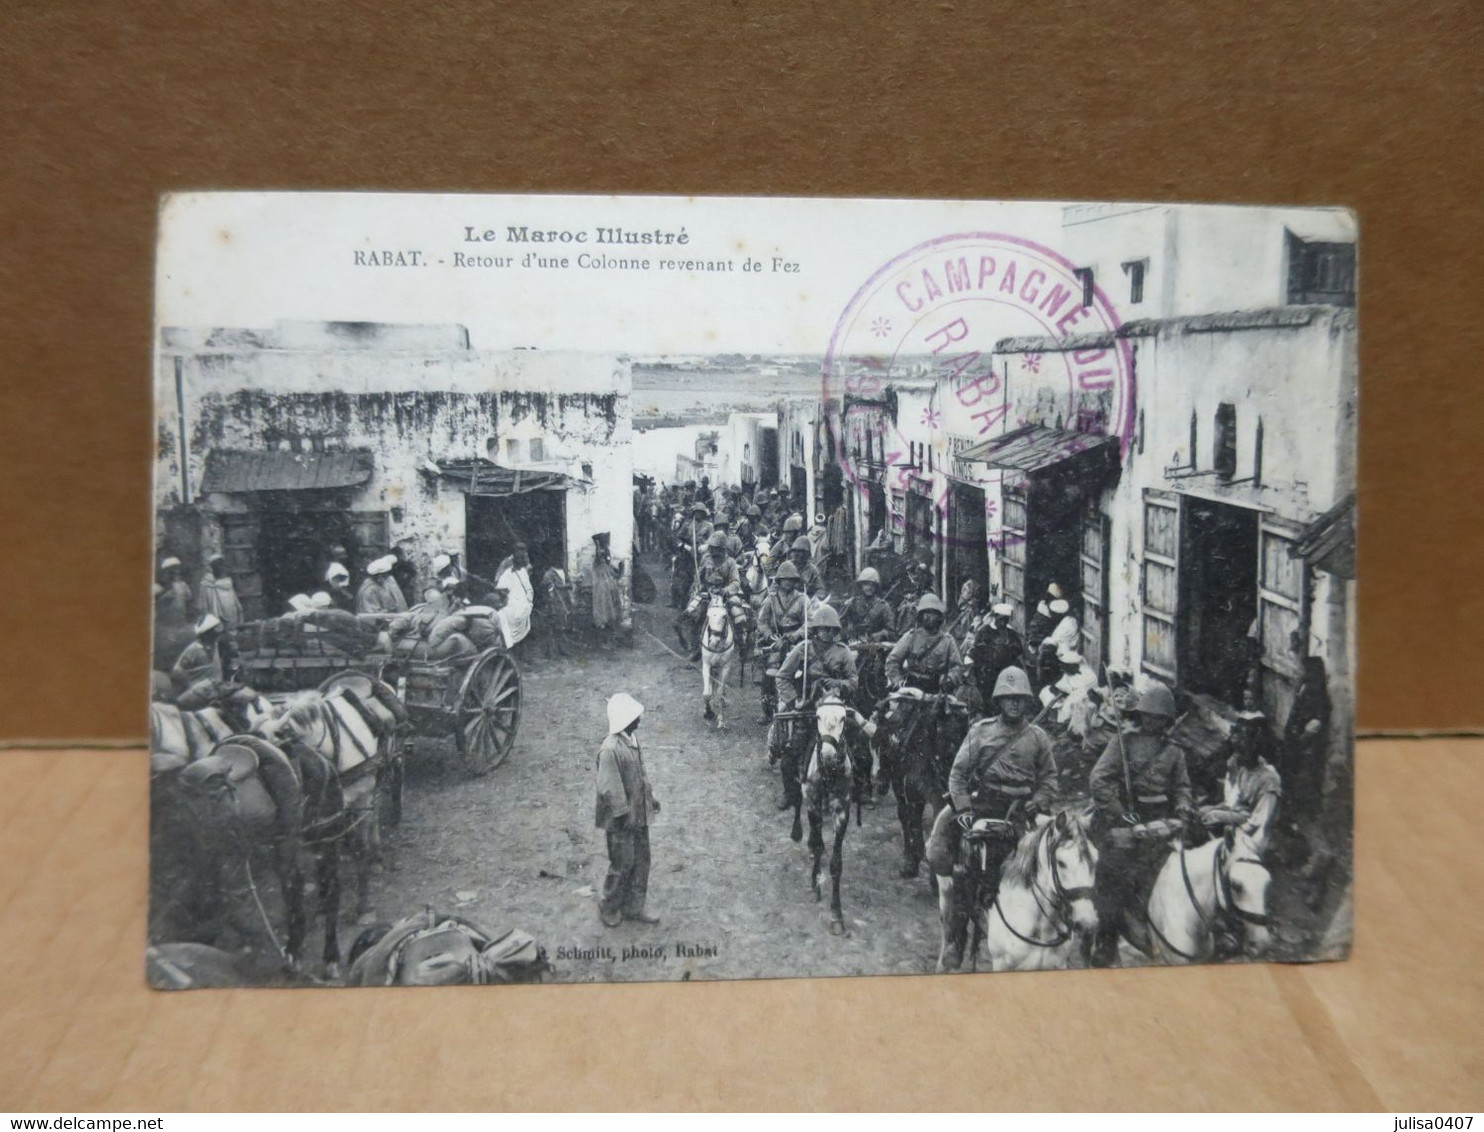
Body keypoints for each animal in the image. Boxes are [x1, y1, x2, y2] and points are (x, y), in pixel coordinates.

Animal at [700, 587, 736, 729]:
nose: (714, 641)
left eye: (724, 616)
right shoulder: (706, 664)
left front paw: (721, 720)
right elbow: (706, 693)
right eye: (708, 615)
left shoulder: (725, 666)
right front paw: (707, 712)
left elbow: (720, 692)